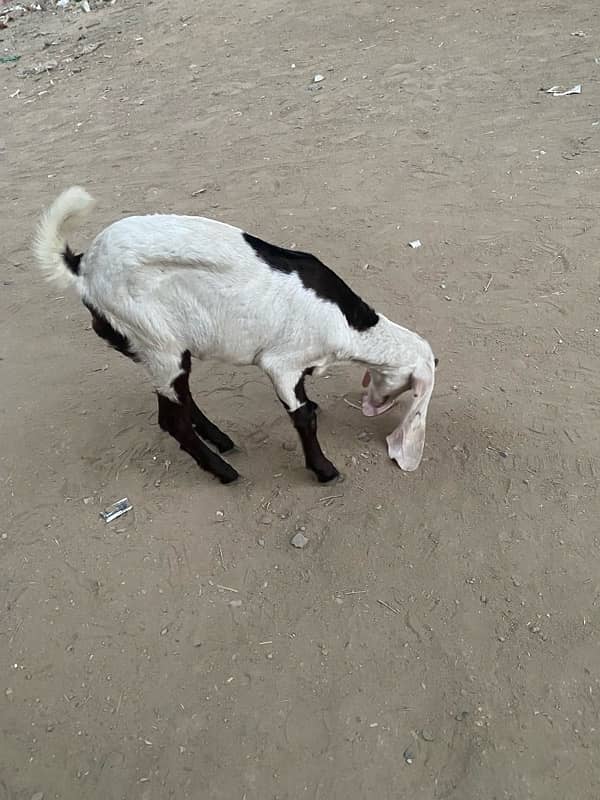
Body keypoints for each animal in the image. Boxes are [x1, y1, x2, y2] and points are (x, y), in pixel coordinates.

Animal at [34, 188, 436, 484]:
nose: (373, 406)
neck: (349, 324)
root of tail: (82, 267)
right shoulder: (281, 364)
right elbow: (304, 417)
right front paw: (324, 470)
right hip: (157, 341)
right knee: (171, 419)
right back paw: (224, 472)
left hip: (160, 349)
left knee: (181, 399)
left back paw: (222, 441)